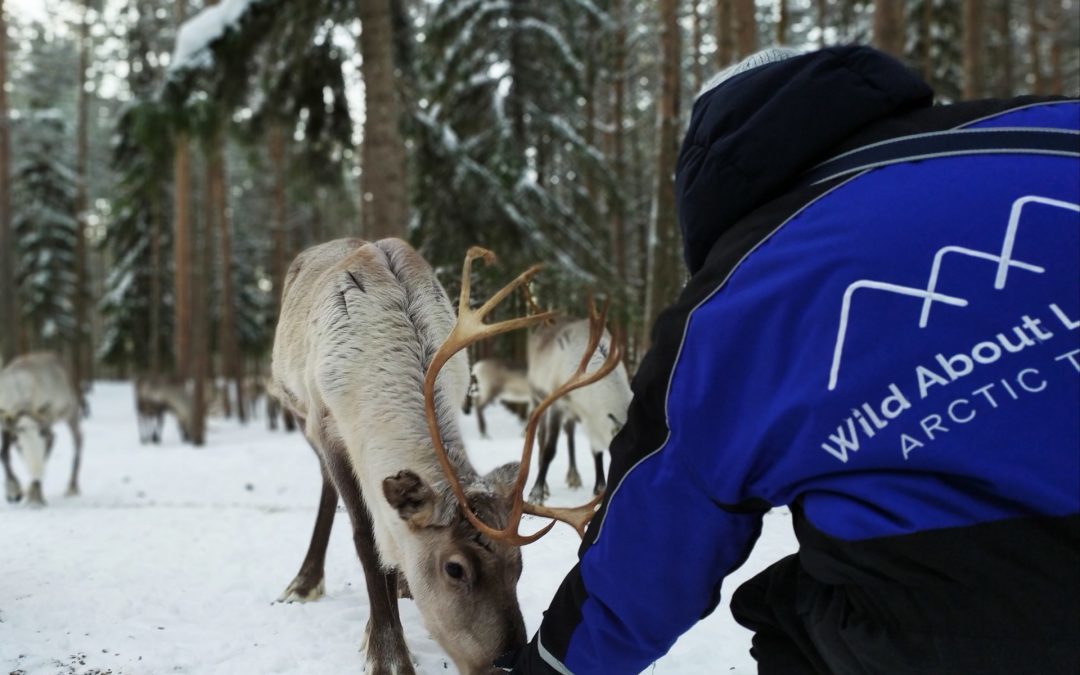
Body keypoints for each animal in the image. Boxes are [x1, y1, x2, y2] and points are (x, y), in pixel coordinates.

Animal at [0, 352, 84, 506]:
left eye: (41, 432)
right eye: (17, 435)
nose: (37, 472)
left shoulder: (47, 427)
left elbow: (44, 455)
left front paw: (35, 497)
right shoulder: (6, 427)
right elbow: (4, 454)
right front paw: (14, 491)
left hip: (72, 413)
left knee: (78, 442)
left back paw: (72, 487)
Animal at [270, 238, 617, 675]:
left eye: (519, 565)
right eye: (455, 568)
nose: (504, 665)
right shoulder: (326, 424)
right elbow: (367, 538)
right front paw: (387, 654)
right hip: (298, 411)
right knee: (328, 490)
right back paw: (304, 582)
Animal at [526, 317, 632, 504]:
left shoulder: (591, 417)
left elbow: (596, 452)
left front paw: (599, 488)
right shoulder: (558, 405)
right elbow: (549, 450)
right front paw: (536, 493)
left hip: (571, 414)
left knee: (569, 435)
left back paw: (574, 477)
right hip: (538, 399)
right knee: (540, 435)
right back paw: (545, 487)